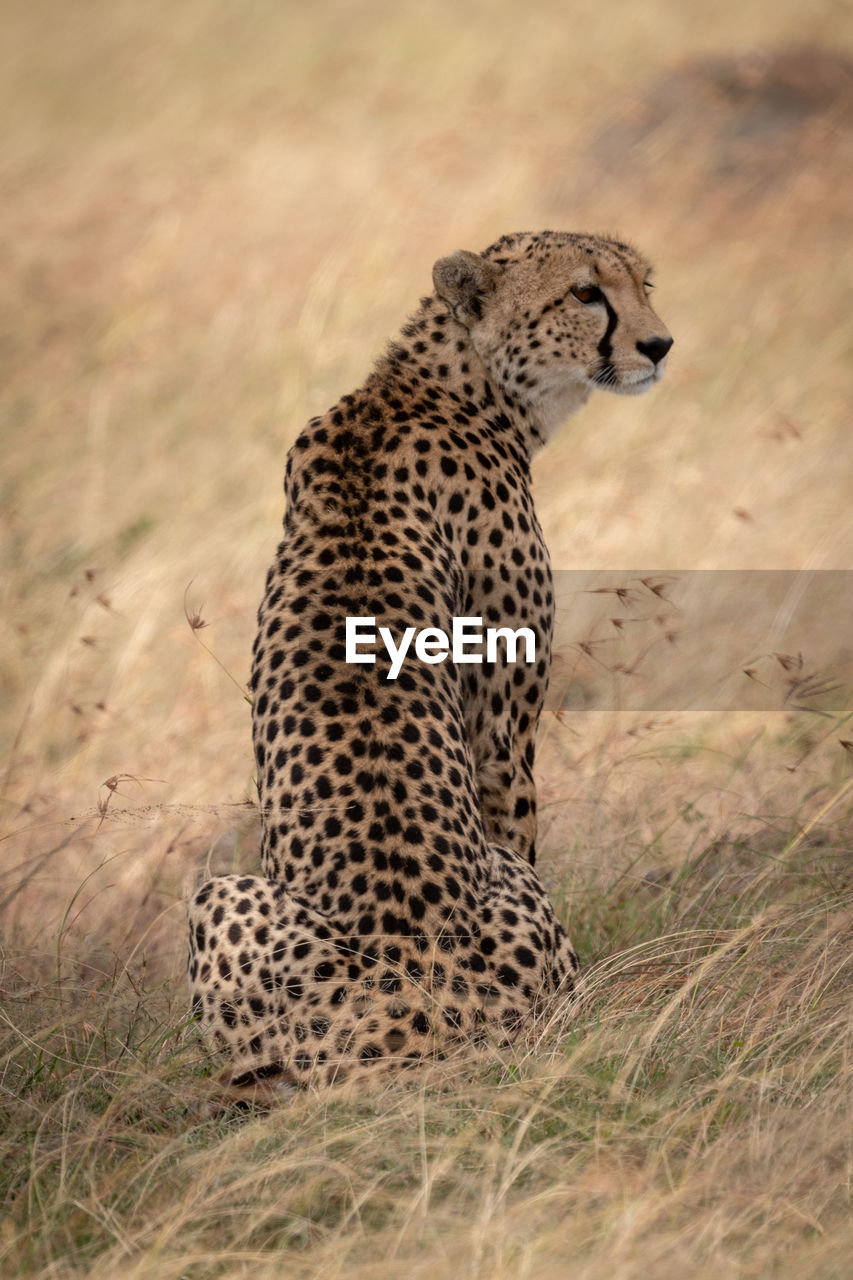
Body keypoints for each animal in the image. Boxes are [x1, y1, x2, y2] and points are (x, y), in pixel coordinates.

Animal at [188, 230, 671, 1090]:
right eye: (585, 293)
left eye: (642, 283)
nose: (658, 344)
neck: (437, 386)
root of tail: (418, 1002)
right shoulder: (503, 735)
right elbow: (515, 806)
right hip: (222, 891)